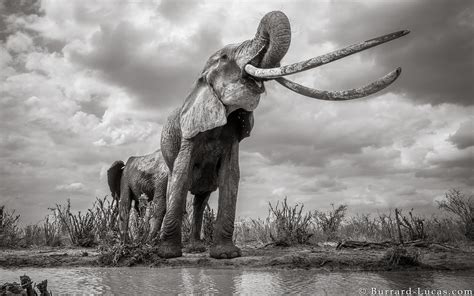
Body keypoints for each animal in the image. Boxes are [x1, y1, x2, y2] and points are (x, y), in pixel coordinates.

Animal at [132, 10, 408, 258]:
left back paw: (196, 249)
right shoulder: (188, 131)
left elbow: (231, 176)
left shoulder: (233, 133)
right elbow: (180, 175)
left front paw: (226, 255)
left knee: (201, 199)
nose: (404, 32)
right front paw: (167, 255)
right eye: (225, 56)